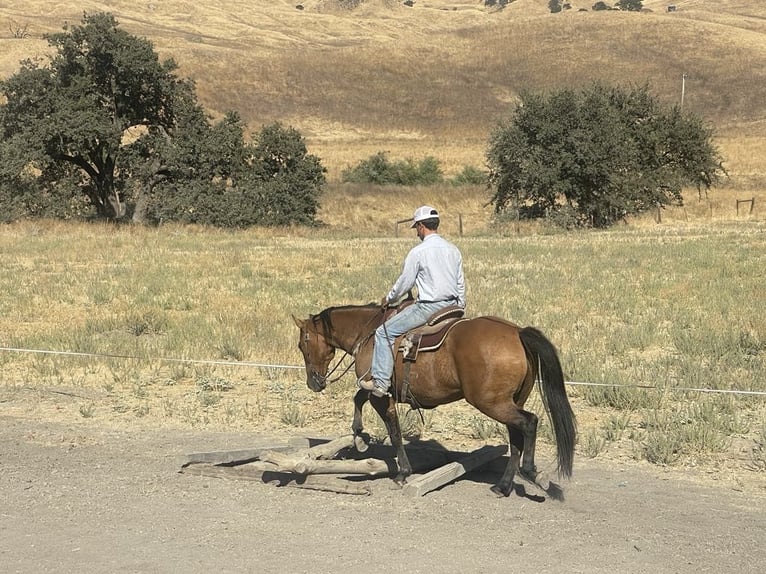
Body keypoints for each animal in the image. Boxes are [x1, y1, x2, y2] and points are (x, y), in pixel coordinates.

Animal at [294, 302, 576, 500]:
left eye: (302, 344)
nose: (314, 383)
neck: (369, 333)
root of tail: (516, 332)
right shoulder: (377, 389)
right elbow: (358, 398)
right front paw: (358, 436)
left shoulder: (381, 394)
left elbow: (394, 432)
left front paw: (402, 472)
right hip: (509, 401)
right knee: (516, 437)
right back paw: (503, 486)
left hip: (492, 403)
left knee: (529, 423)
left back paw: (532, 472)